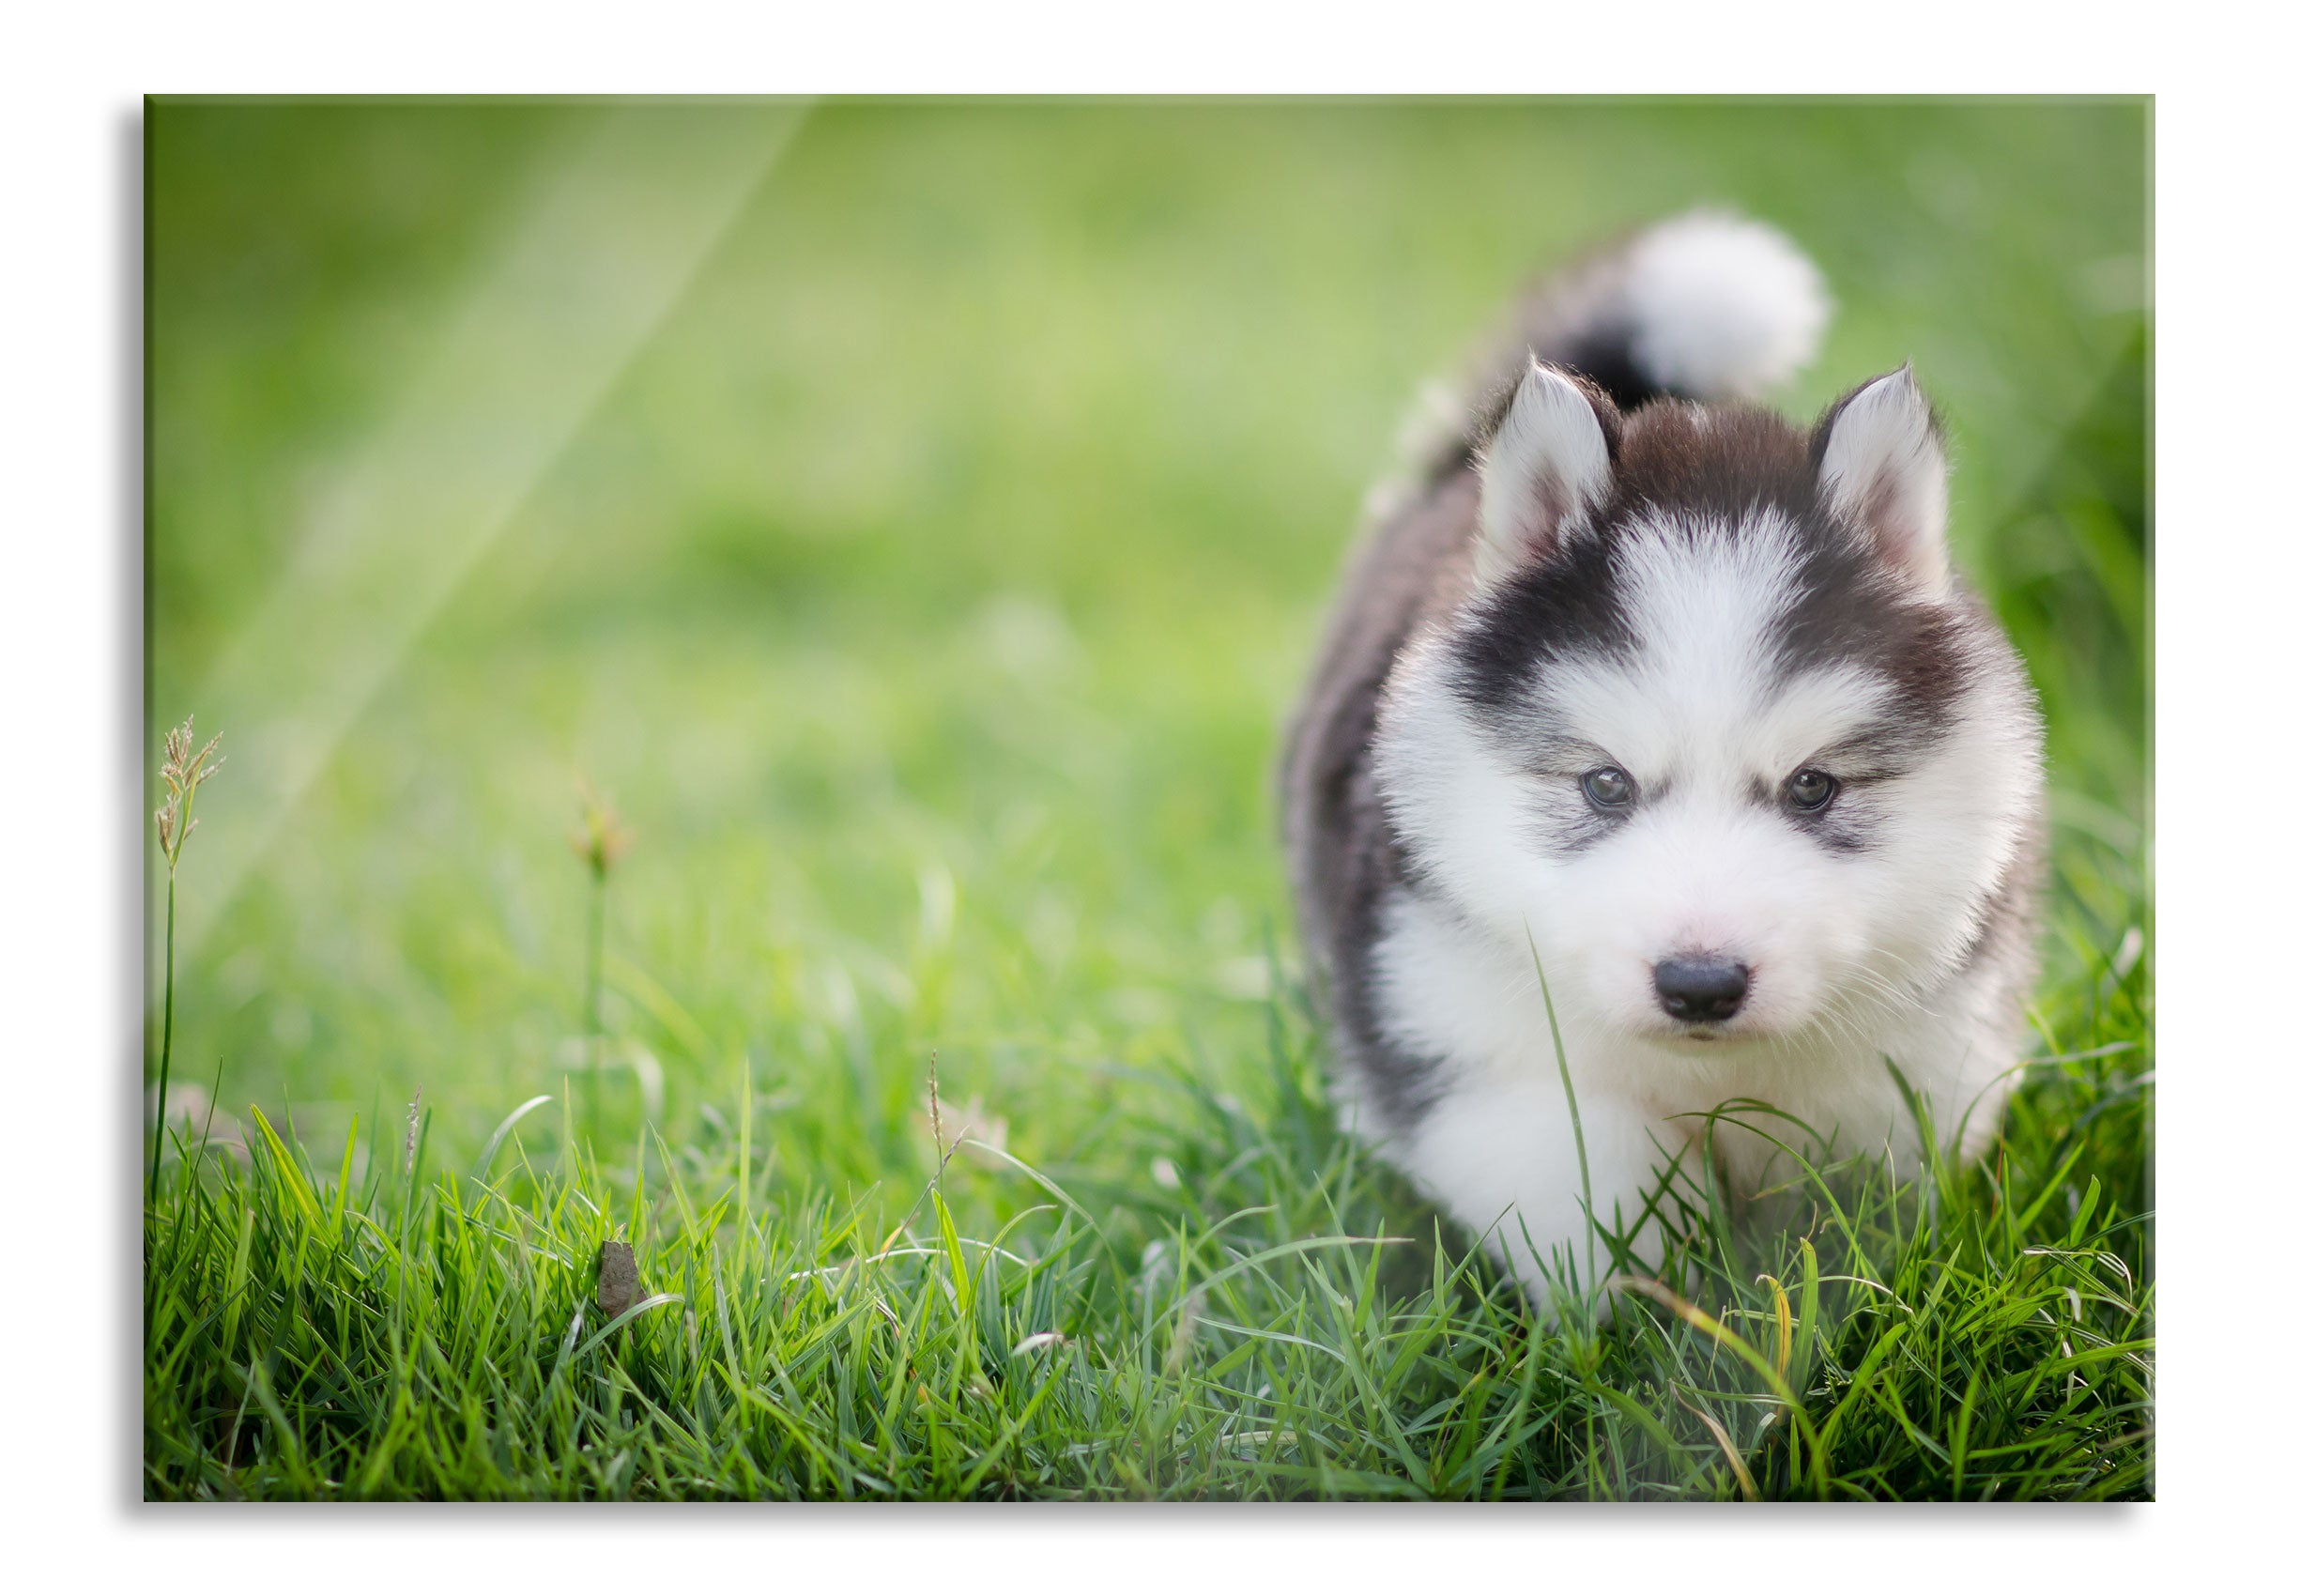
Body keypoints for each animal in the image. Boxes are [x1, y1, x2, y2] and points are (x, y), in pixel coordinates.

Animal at [1279, 212, 2051, 1315]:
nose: (1699, 983)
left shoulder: (1919, 1061)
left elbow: (1843, 1232)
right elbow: (1597, 1180)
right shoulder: (1458, 1027)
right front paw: (1645, 1312)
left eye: (1812, 786)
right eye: (1605, 784)